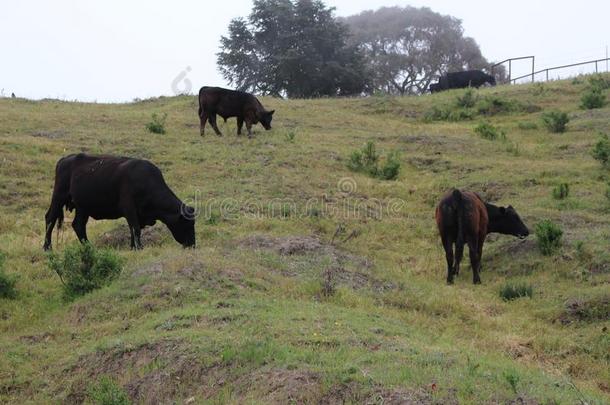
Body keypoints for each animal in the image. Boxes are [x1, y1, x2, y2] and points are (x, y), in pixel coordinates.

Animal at [43, 154, 195, 251]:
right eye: (186, 223)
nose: (192, 244)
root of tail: (65, 159)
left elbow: (133, 229)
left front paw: (133, 247)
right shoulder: (129, 208)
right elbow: (135, 228)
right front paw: (139, 247)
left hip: (83, 207)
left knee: (78, 225)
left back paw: (89, 247)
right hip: (58, 197)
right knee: (50, 218)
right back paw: (47, 247)